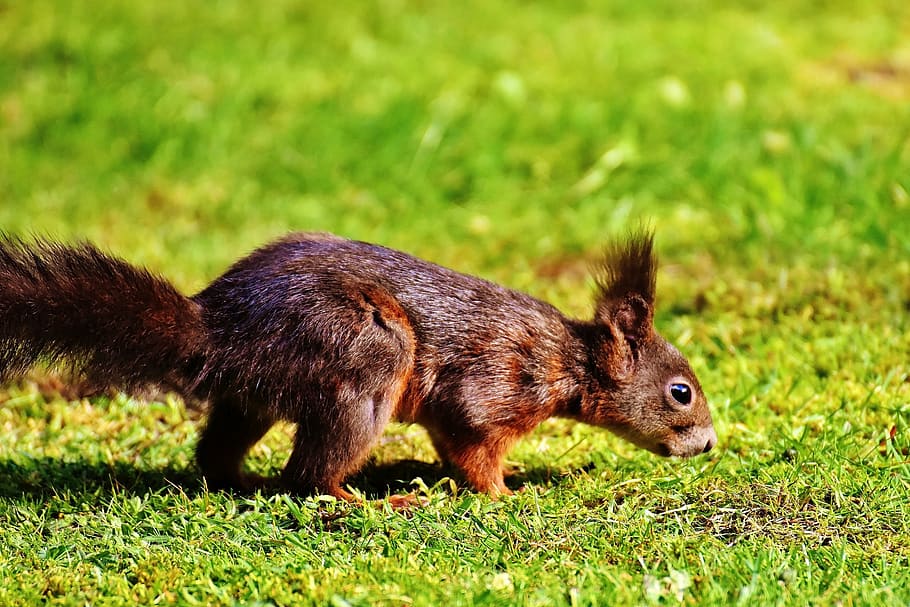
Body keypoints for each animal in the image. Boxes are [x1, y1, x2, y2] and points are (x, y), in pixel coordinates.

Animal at [0, 230, 716, 505]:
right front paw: (508, 494)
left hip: (252, 396)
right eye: (680, 392)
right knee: (308, 477)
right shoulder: (493, 385)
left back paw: (238, 481)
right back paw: (375, 500)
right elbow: (475, 447)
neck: (568, 360)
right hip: (364, 360)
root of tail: (217, 327)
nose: (709, 445)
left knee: (218, 451)